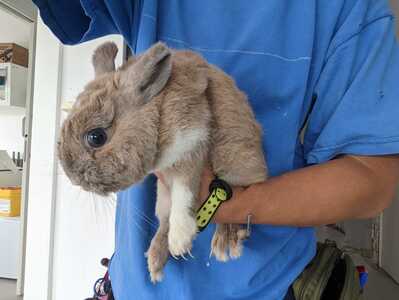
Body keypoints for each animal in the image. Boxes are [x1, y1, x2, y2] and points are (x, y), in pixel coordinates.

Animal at [57, 41, 268, 284]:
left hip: (237, 165)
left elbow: (184, 192)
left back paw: (225, 241)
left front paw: (180, 240)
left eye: (96, 137)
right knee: (163, 221)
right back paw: (155, 260)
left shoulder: (193, 144)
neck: (158, 114)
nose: (73, 178)